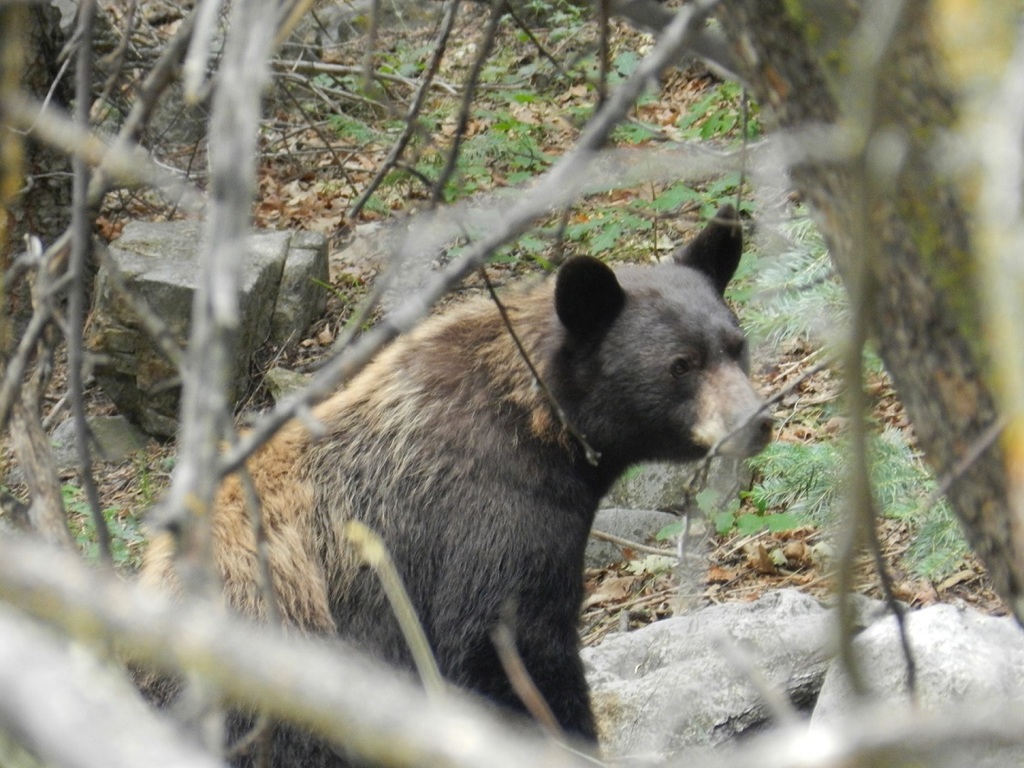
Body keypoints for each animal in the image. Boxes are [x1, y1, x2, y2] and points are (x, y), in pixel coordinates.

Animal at [139, 204, 772, 766]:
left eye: (736, 345)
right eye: (680, 364)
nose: (756, 421)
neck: (537, 424)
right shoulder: (489, 521)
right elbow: (507, 650)